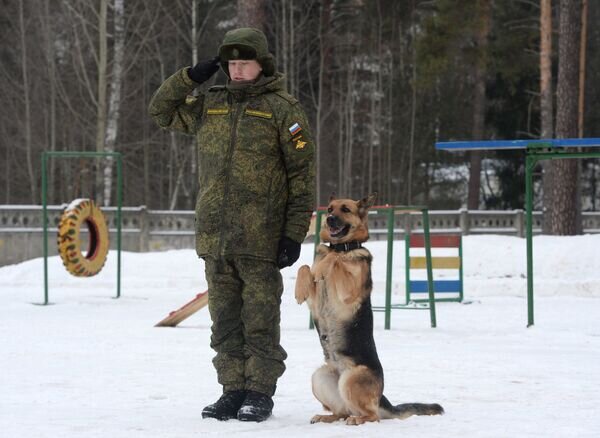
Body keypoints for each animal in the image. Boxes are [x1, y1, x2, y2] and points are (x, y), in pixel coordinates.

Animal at [292, 194, 442, 424]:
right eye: (330, 209)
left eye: (345, 209)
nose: (329, 219)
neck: (344, 246)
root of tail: (381, 399)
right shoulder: (314, 302)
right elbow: (306, 266)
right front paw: (301, 288)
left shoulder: (347, 291)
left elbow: (335, 260)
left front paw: (328, 260)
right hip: (320, 376)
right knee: (342, 411)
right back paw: (327, 417)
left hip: (352, 377)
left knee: (372, 416)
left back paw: (358, 419)